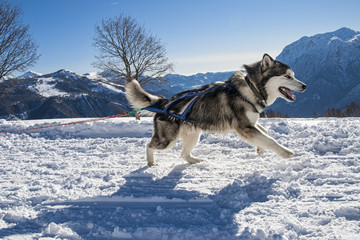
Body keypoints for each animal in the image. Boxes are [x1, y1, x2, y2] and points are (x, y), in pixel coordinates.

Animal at [125, 54, 306, 167]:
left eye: (293, 75)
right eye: (287, 76)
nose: (305, 86)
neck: (251, 89)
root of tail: (165, 101)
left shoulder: (250, 124)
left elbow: (265, 132)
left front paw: (260, 148)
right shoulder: (244, 127)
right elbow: (270, 139)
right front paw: (286, 152)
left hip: (193, 135)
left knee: (184, 155)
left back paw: (195, 161)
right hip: (167, 141)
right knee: (149, 145)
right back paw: (151, 163)